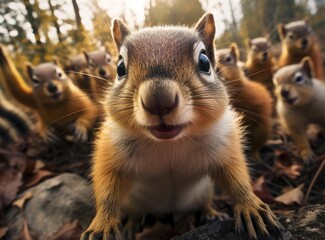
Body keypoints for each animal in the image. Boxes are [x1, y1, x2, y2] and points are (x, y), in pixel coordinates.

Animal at [80, 13, 280, 240]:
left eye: (204, 62)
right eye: (120, 68)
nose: (158, 101)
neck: (169, 144)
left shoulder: (224, 143)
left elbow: (237, 177)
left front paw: (250, 206)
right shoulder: (111, 148)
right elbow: (107, 186)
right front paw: (103, 223)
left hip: (205, 191)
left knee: (204, 202)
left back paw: (211, 213)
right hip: (133, 201)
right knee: (134, 211)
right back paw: (131, 225)